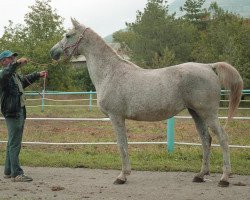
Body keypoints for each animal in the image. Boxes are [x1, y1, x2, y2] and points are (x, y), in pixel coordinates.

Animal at [49, 18, 243, 187]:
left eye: (67, 35)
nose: (53, 52)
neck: (110, 72)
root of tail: (209, 66)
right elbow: (124, 144)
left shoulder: (116, 117)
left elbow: (122, 145)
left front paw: (122, 176)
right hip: (196, 113)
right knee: (206, 140)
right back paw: (200, 175)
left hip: (208, 113)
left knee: (222, 138)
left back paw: (224, 178)